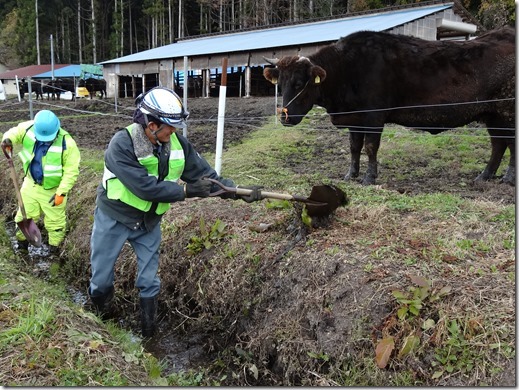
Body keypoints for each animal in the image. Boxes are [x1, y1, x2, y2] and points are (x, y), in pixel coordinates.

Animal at [266, 27, 516, 186]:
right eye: (280, 84)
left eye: (299, 83)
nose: (285, 117)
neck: (346, 69)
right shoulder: (355, 119)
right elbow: (354, 147)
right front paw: (351, 175)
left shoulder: (373, 117)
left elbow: (370, 147)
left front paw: (369, 178)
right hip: (492, 114)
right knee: (498, 144)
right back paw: (484, 176)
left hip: (507, 112)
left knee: (510, 143)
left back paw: (508, 178)